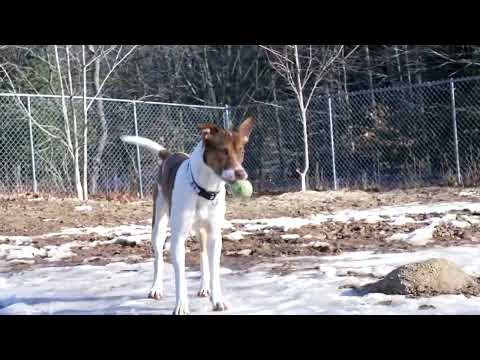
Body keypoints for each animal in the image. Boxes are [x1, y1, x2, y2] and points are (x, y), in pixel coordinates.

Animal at [120, 116, 255, 314]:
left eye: (241, 151)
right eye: (223, 151)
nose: (241, 173)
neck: (204, 189)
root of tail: (169, 155)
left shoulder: (214, 236)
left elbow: (214, 269)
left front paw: (217, 300)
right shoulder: (178, 240)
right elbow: (180, 277)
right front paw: (181, 305)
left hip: (202, 232)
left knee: (202, 255)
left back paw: (204, 287)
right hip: (158, 226)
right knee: (158, 258)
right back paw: (156, 288)